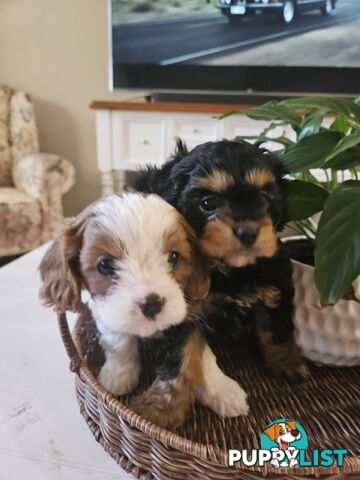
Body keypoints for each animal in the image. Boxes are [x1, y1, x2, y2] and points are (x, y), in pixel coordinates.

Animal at [38, 193, 248, 430]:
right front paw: (118, 376)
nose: (152, 304)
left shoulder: (193, 318)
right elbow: (118, 342)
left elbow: (203, 355)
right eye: (105, 265)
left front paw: (224, 391)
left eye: (174, 257)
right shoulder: (104, 312)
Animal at [135, 139, 310, 382]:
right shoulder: (184, 309)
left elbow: (276, 325)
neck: (231, 267)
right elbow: (181, 350)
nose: (248, 232)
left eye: (263, 199)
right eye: (207, 204)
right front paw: (173, 390)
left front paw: (287, 361)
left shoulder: (276, 283)